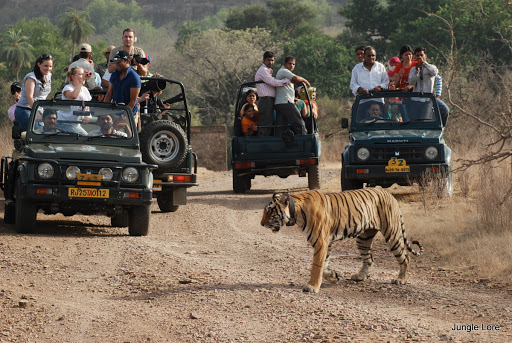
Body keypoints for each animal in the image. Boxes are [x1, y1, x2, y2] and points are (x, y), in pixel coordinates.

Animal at [260, 188, 424, 292]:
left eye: (269, 211)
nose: (261, 224)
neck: (297, 212)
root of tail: (390, 195)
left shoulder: (321, 241)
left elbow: (316, 266)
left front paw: (312, 287)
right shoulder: (326, 243)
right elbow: (324, 265)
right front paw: (333, 277)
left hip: (392, 234)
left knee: (405, 257)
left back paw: (400, 279)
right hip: (363, 238)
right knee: (369, 259)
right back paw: (360, 276)